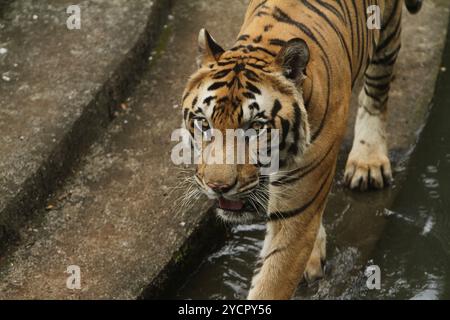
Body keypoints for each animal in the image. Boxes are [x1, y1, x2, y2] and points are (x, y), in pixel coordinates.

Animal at [178, 0, 422, 300]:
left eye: (255, 127)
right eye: (204, 123)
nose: (218, 187)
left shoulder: (296, 206)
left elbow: (273, 280)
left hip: (385, 33)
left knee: (377, 90)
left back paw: (368, 161)